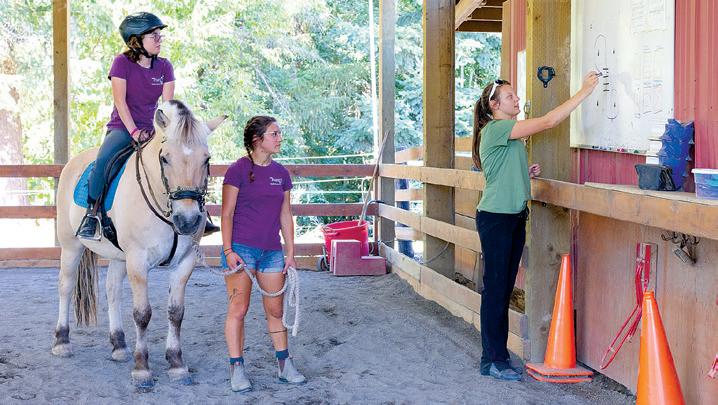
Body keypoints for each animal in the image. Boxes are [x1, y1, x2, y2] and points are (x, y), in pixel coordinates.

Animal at [52, 100, 226, 389]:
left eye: (207, 159)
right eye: (165, 158)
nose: (187, 221)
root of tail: (73, 162)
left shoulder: (185, 262)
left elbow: (176, 312)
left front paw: (176, 363)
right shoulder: (138, 260)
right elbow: (143, 314)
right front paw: (142, 368)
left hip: (118, 256)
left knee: (112, 290)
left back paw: (119, 346)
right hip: (71, 246)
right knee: (65, 286)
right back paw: (62, 341)